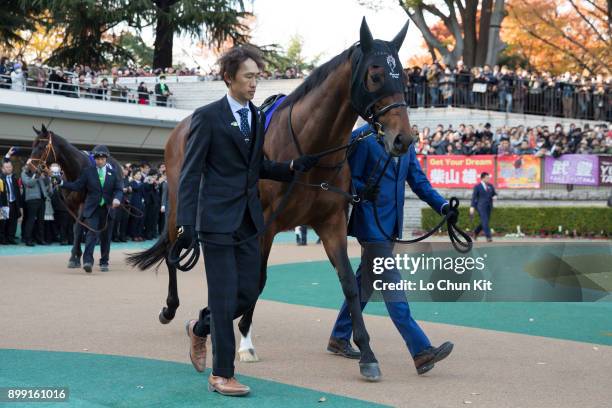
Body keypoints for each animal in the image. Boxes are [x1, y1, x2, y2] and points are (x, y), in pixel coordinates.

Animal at [129, 17, 416, 378]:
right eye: (375, 75)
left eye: (403, 76)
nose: (402, 138)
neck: (312, 151)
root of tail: (181, 127)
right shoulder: (264, 225)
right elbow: (257, 280)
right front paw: (243, 340)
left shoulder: (331, 224)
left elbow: (349, 283)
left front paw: (366, 353)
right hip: (181, 206)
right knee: (173, 252)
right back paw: (170, 308)